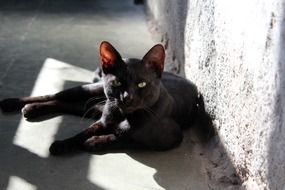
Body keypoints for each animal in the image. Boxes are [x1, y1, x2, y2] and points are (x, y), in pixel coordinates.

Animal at [0, 41, 211, 154]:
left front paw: (94, 142)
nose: (127, 97)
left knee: (67, 104)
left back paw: (30, 109)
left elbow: (125, 138)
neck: (124, 116)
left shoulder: (172, 139)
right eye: (117, 83)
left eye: (142, 84)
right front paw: (62, 144)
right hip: (90, 91)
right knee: (57, 95)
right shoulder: (102, 122)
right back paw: (15, 104)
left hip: (95, 106)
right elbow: (82, 133)